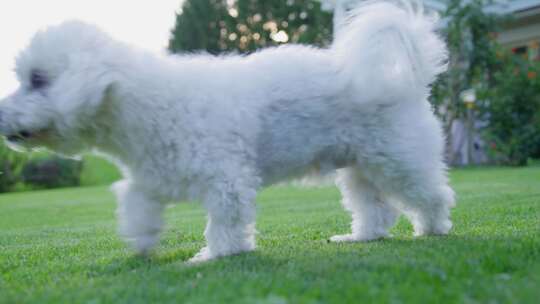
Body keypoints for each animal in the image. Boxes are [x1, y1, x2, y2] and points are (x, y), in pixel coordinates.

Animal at [0, 0, 454, 262]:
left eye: (37, 79)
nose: (2, 119)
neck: (147, 102)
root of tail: (406, 79)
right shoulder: (152, 179)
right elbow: (136, 207)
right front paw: (142, 244)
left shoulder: (227, 180)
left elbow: (224, 223)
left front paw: (216, 255)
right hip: (360, 169)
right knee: (376, 210)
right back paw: (360, 238)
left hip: (397, 159)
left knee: (432, 195)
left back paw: (433, 229)